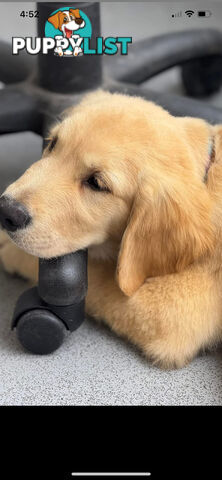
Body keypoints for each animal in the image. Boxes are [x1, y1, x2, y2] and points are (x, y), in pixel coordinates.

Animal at [0, 90, 222, 368]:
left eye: (96, 183)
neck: (207, 177)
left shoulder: (171, 312)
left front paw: (10, 250)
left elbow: (98, 277)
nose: (6, 211)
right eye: (52, 144)